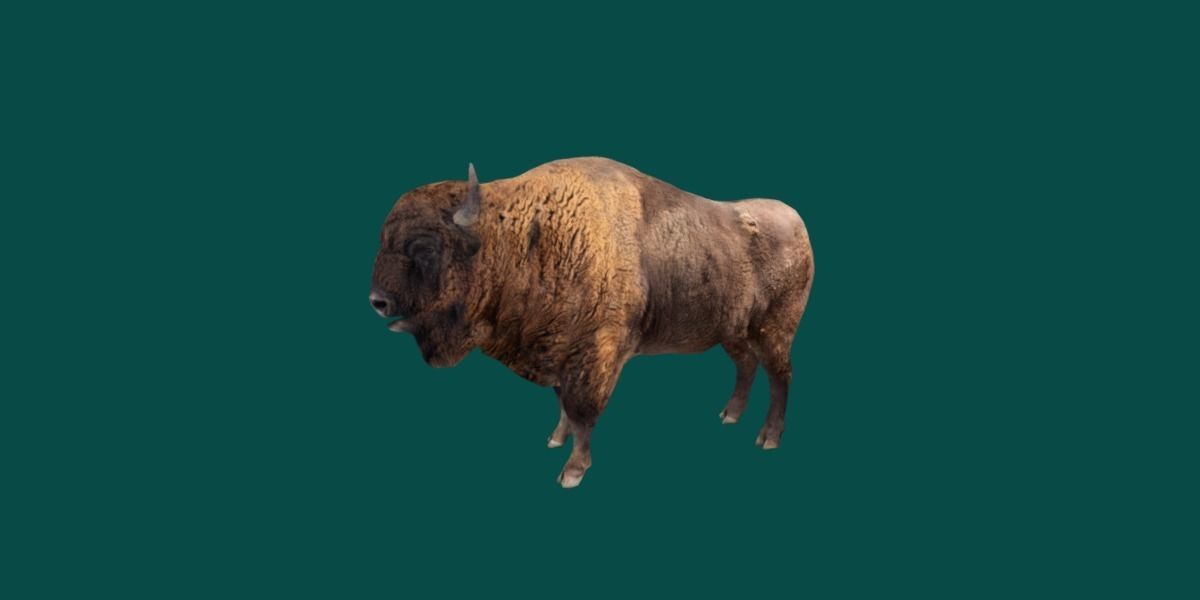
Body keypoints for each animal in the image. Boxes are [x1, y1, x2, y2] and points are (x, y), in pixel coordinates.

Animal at [370, 157, 814, 487]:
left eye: (425, 248)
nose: (377, 301)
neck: (524, 237)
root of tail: (797, 222)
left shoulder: (594, 356)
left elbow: (583, 412)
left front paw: (572, 471)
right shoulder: (556, 350)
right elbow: (563, 404)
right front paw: (554, 439)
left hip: (774, 331)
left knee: (781, 376)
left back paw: (768, 438)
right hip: (733, 332)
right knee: (746, 366)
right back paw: (730, 415)